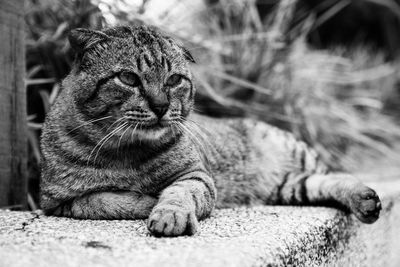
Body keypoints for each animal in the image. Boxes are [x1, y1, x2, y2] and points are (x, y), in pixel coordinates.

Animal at [40, 26, 382, 238]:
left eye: (174, 80)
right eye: (128, 78)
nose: (161, 105)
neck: (126, 152)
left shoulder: (196, 176)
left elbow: (178, 193)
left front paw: (169, 214)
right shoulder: (59, 202)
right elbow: (108, 200)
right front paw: (145, 200)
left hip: (298, 155)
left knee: (336, 172)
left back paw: (366, 198)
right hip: (288, 186)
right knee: (319, 182)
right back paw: (365, 200)